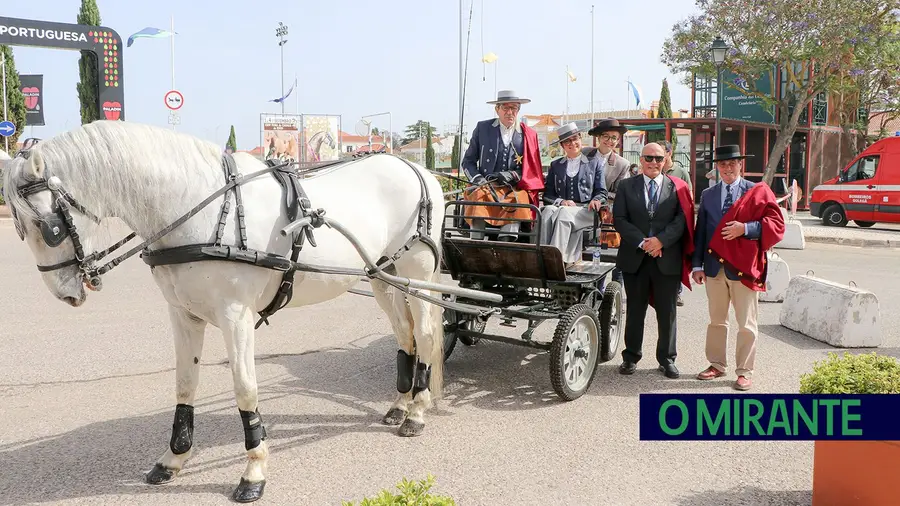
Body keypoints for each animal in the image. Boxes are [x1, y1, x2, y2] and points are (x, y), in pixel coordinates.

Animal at [0, 120, 448, 504]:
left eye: (48, 227)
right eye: (20, 227)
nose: (64, 294)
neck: (200, 209)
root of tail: (417, 169)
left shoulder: (237, 316)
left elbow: (245, 389)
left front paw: (254, 470)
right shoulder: (182, 313)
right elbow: (184, 385)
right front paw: (174, 458)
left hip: (417, 276)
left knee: (425, 336)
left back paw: (418, 411)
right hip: (383, 276)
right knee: (404, 334)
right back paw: (400, 403)